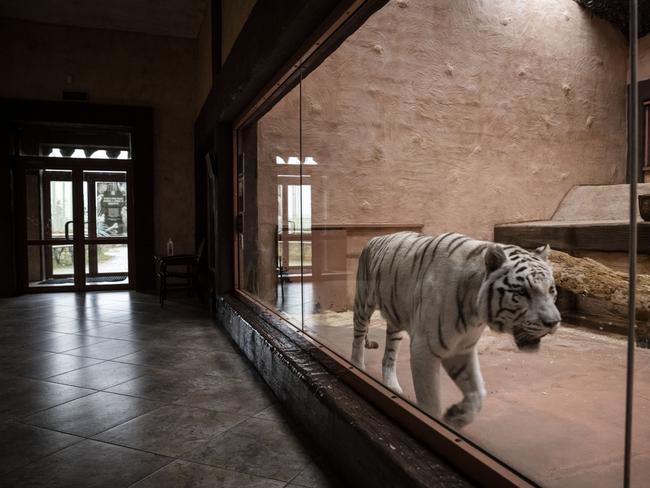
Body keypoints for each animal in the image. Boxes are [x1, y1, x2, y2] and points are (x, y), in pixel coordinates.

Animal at [350, 233, 556, 428]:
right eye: (522, 292)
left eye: (551, 290)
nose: (554, 322)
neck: (475, 313)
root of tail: (375, 238)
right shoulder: (424, 350)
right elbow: (431, 402)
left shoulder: (461, 349)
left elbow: (478, 392)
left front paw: (457, 416)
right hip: (363, 303)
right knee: (358, 339)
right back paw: (357, 366)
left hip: (395, 321)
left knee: (389, 356)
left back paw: (392, 386)